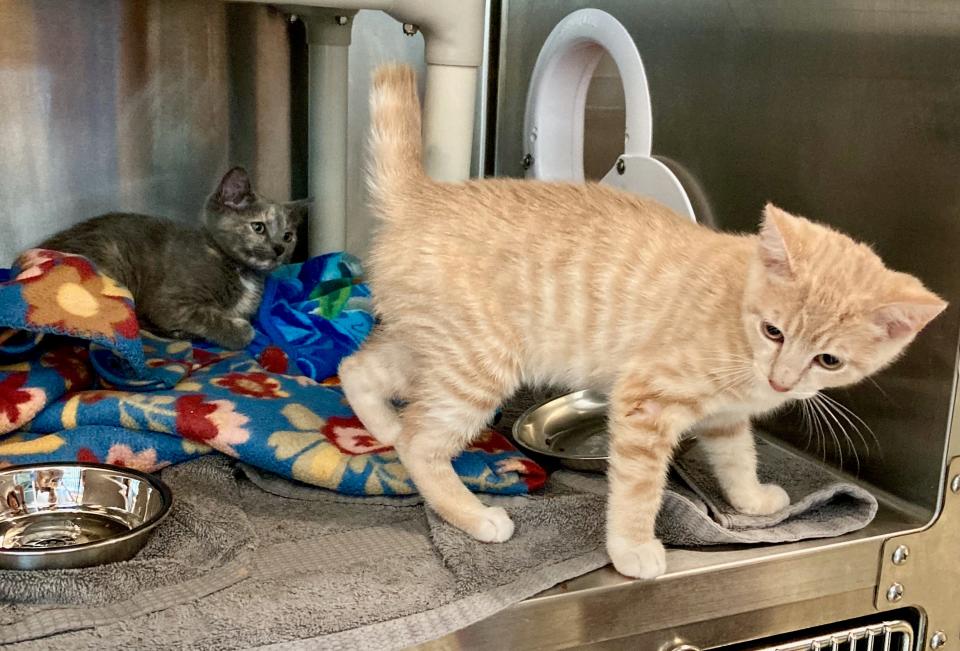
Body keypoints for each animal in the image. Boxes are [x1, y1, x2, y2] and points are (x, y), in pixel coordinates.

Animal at [37, 171, 306, 348]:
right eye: (258, 227)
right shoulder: (170, 302)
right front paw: (241, 332)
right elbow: (209, 317)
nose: (279, 248)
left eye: (288, 236)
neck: (241, 271)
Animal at [342, 63, 948, 580]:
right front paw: (633, 548)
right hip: (479, 363)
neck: (738, 316)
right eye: (773, 331)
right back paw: (472, 514)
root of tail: (424, 197)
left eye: (829, 360)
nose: (781, 382)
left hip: (434, 347)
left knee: (358, 369)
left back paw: (384, 427)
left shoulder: (727, 417)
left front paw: (751, 498)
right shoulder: (646, 402)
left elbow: (737, 456)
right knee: (423, 442)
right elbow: (638, 490)